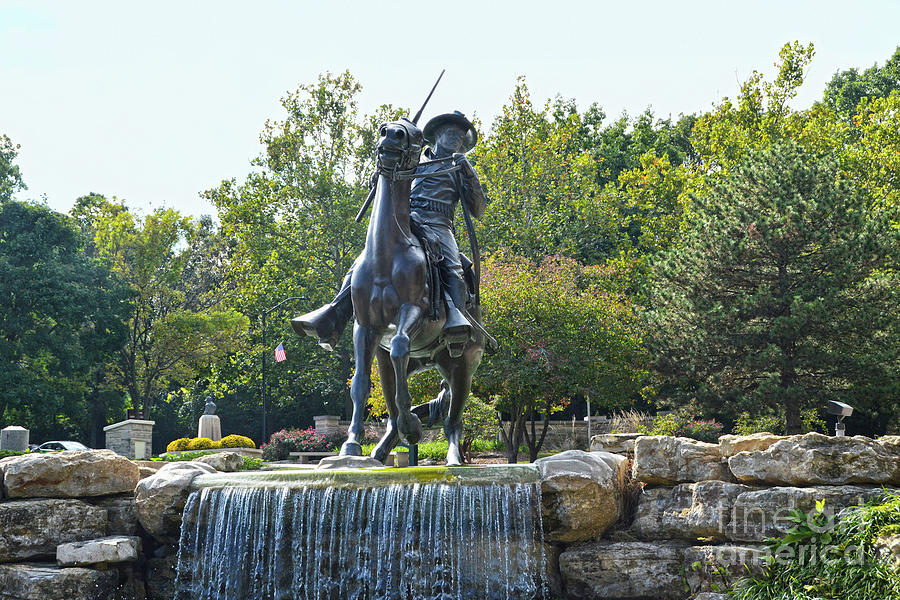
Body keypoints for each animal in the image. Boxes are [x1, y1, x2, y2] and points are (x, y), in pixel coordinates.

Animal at [342, 116, 486, 464]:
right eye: (387, 126)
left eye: (417, 135)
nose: (391, 134)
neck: (386, 253)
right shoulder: (364, 327)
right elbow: (360, 384)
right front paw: (351, 444)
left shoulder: (414, 312)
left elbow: (399, 345)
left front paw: (414, 427)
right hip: (409, 362)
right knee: (393, 403)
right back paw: (381, 449)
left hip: (464, 365)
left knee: (454, 419)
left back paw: (452, 457)